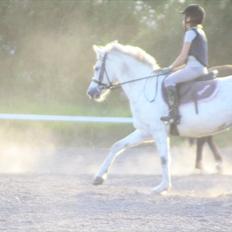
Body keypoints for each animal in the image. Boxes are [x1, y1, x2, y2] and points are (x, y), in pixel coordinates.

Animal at [87, 41, 232, 192]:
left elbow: (163, 158)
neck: (143, 87)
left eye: (96, 68)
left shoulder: (158, 131)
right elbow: (117, 146)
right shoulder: (145, 132)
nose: (91, 92)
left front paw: (163, 187)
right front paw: (99, 178)